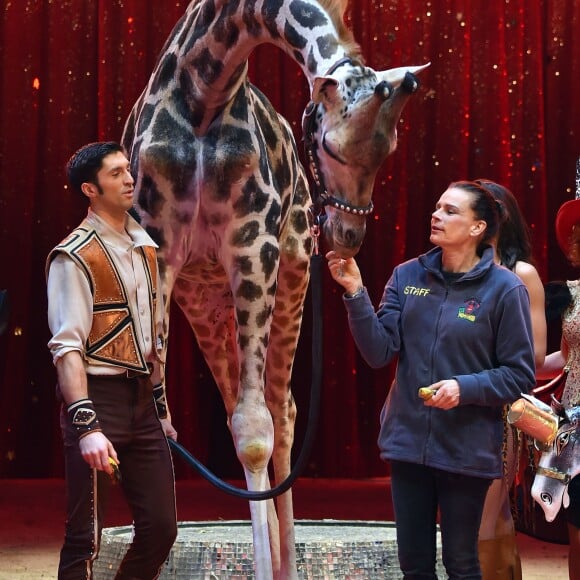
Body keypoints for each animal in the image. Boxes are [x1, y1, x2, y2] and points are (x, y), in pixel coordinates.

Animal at [121, 2, 426, 576]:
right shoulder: (160, 252)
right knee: (239, 407)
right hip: (205, 300)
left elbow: (258, 430)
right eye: (330, 144)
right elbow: (166, 420)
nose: (347, 236)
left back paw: (286, 561)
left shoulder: (254, 246)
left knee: (282, 414)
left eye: (392, 148)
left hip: (291, 273)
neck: (204, 93)